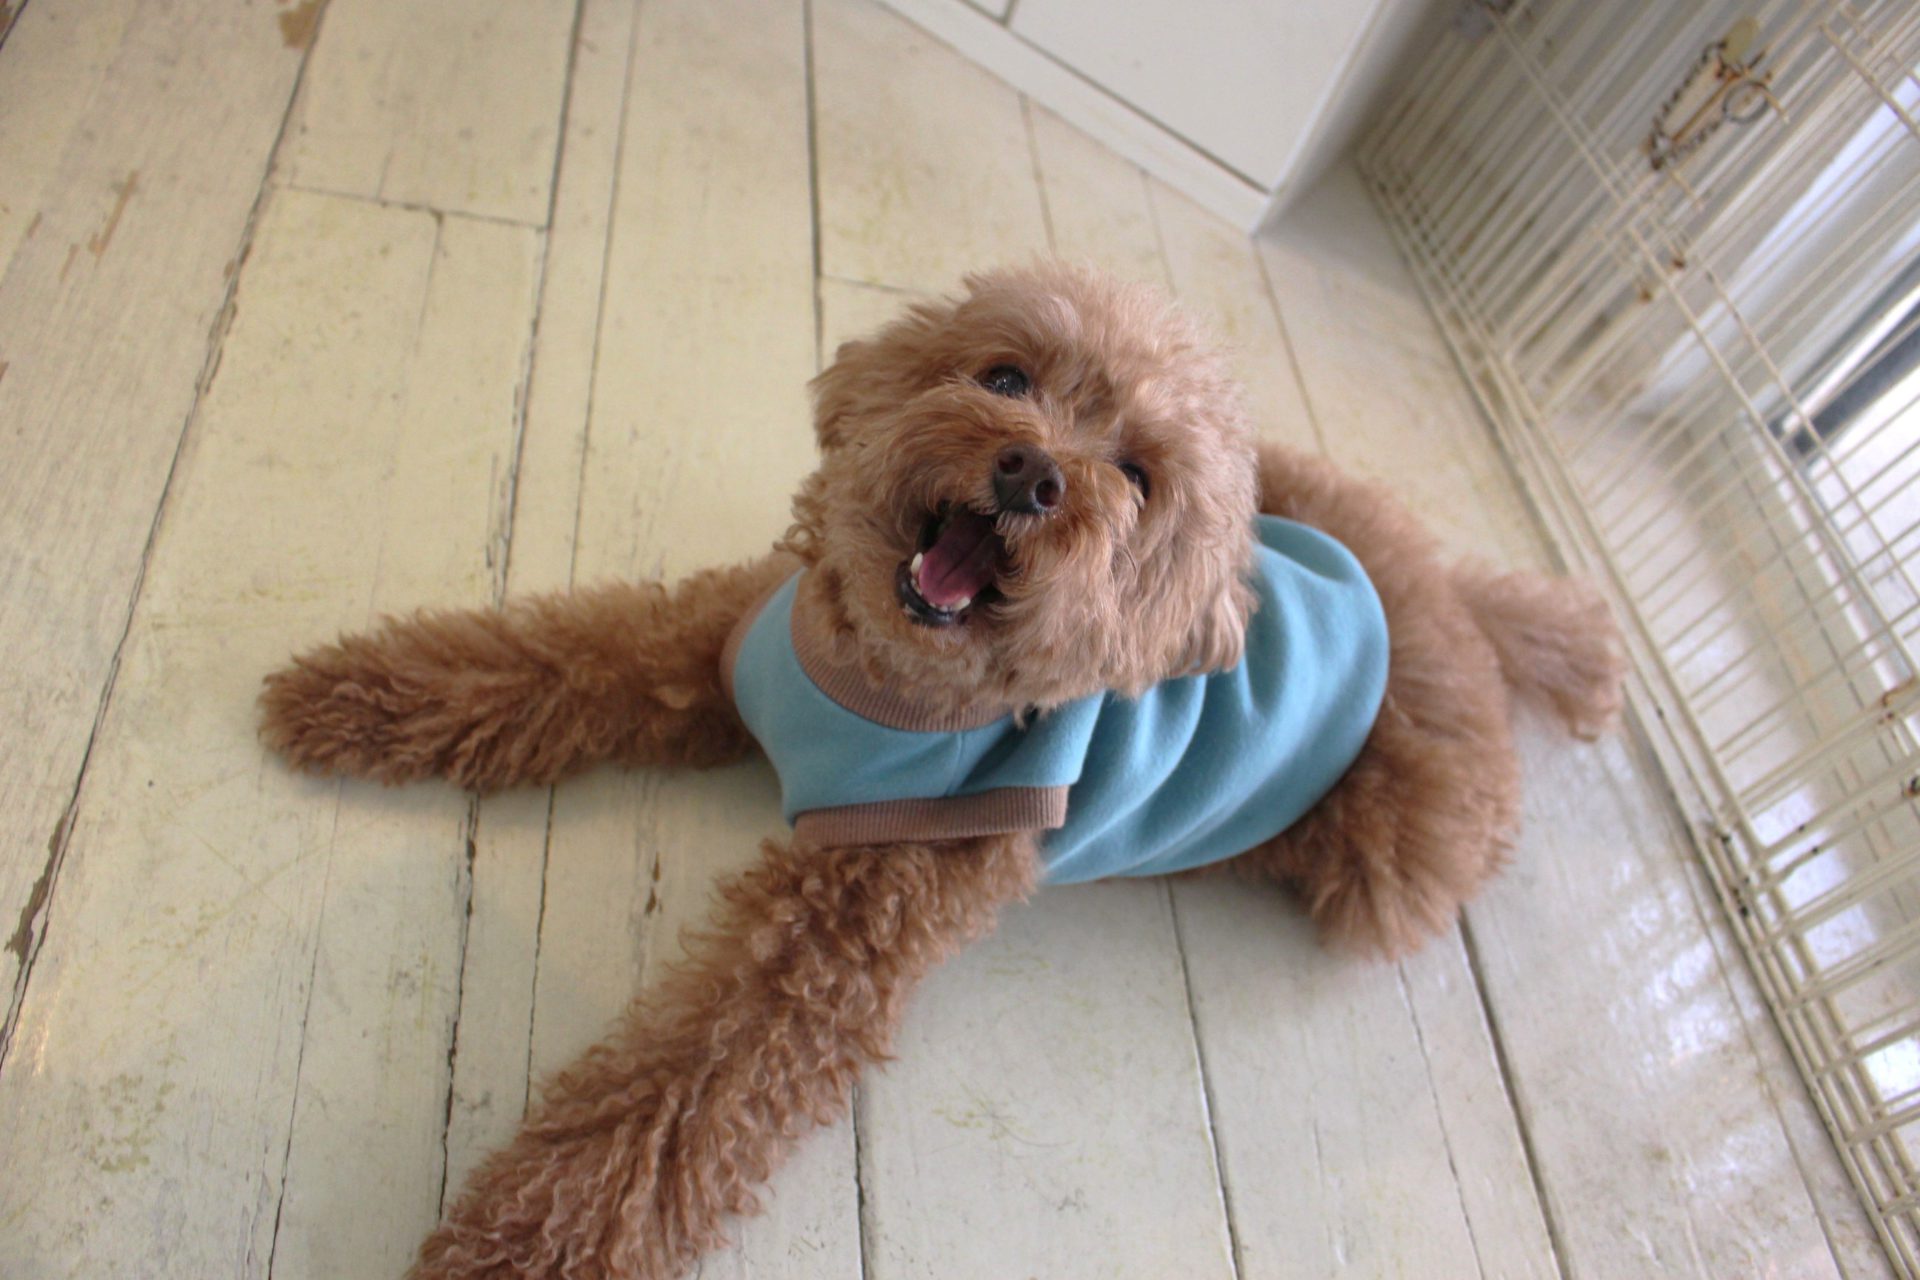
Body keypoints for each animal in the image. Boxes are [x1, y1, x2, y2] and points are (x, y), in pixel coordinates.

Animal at [259, 263, 1624, 1279]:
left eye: (1136, 478)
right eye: (1006, 373)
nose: (1033, 469)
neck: (878, 679)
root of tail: (1449, 614)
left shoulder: (831, 948)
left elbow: (673, 1101)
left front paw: (514, 1247)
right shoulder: (696, 650)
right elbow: (548, 655)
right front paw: (350, 693)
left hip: (1396, 853)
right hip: (1313, 483)